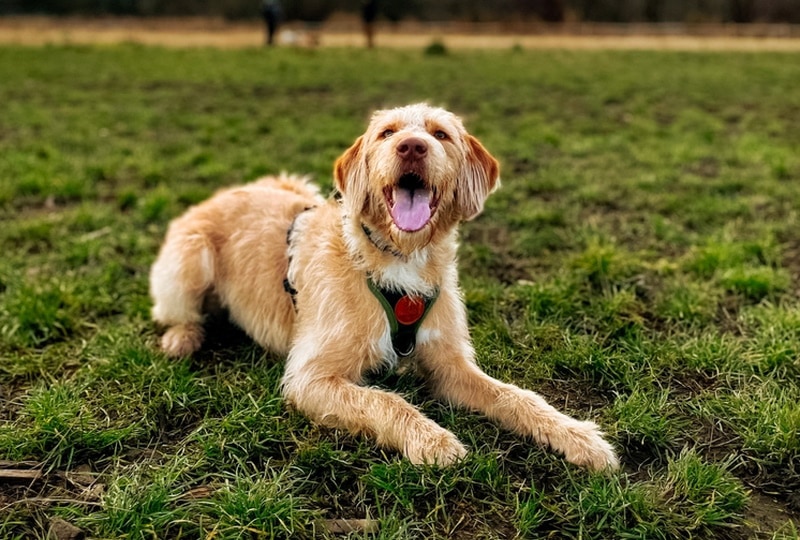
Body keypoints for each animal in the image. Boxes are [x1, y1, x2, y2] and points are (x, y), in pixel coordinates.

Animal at [150, 103, 620, 470]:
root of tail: (227, 191)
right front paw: (433, 440)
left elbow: (517, 396)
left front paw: (579, 437)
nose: (411, 146)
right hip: (190, 257)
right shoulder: (310, 377)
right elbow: (384, 400)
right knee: (176, 312)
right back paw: (182, 338)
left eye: (440, 134)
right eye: (387, 133)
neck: (398, 259)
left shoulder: (451, 365)